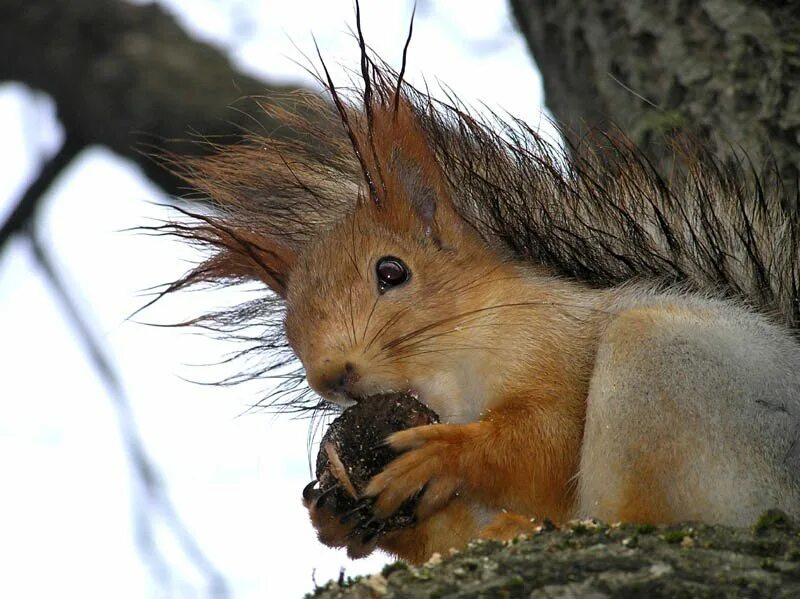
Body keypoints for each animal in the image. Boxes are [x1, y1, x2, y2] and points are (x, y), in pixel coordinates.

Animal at [155, 24, 800, 568]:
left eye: (392, 272)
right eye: (289, 324)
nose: (332, 376)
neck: (451, 369)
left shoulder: (555, 342)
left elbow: (547, 441)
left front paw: (446, 453)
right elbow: (450, 534)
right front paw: (333, 512)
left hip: (669, 363)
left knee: (637, 510)